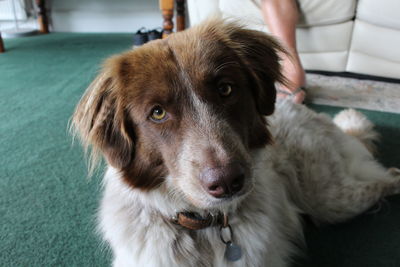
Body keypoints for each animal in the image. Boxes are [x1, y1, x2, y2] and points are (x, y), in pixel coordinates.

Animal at [71, 19, 400, 266]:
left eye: (225, 89)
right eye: (158, 113)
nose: (228, 182)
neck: (204, 229)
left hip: (329, 198)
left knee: (386, 178)